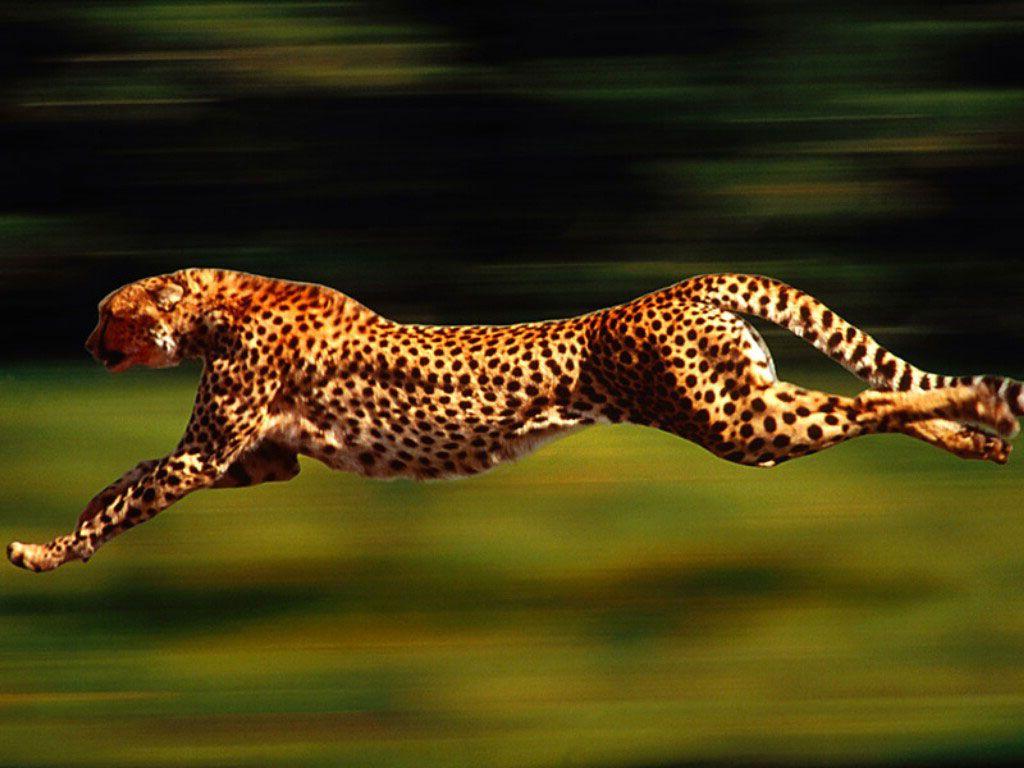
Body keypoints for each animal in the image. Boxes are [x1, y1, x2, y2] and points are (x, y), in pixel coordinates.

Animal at [7, 269, 1023, 572]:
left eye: (107, 312)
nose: (86, 341)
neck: (217, 304)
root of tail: (685, 285)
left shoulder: (211, 456)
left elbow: (132, 493)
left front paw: (49, 552)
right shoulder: (260, 461)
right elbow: (127, 478)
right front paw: (64, 531)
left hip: (735, 424)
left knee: (869, 400)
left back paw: (978, 405)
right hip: (752, 412)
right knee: (862, 405)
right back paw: (976, 433)